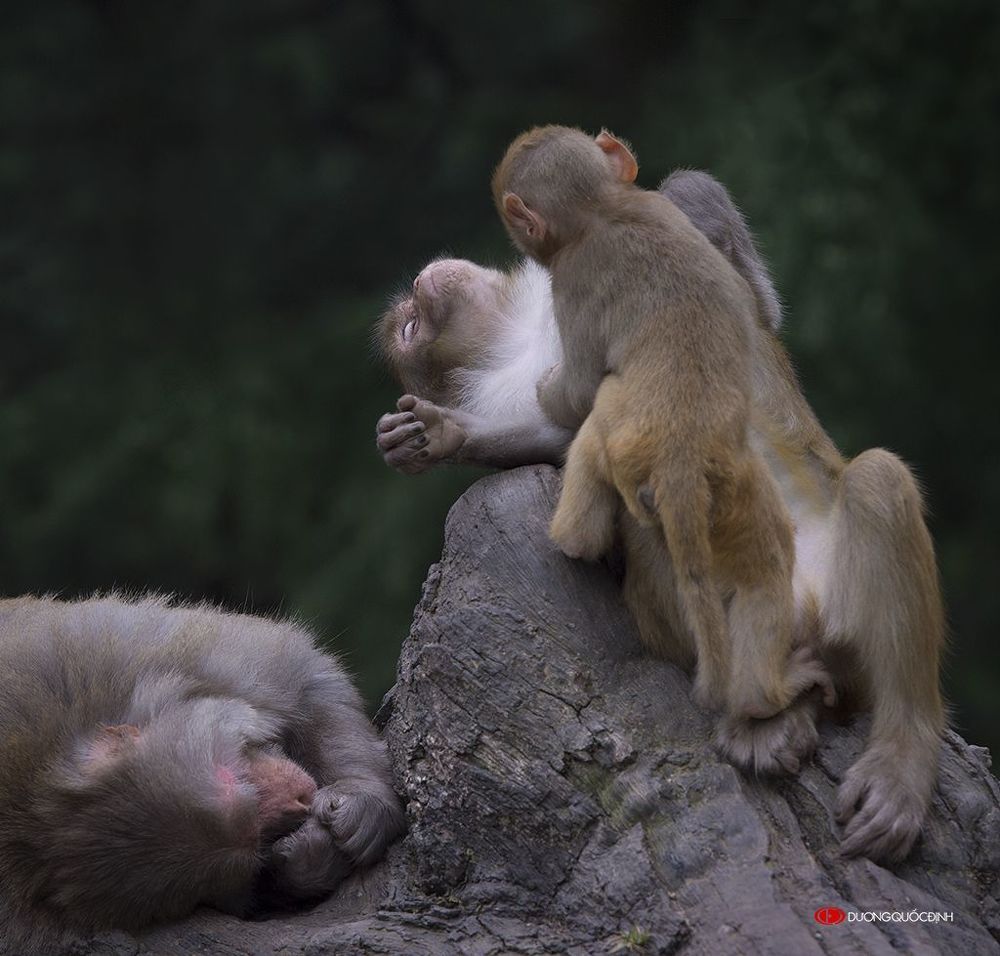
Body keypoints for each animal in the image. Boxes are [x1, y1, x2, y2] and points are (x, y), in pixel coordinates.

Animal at [0, 593, 406, 955]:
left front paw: (360, 803)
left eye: (237, 780)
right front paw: (305, 859)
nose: (302, 796)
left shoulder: (127, 649)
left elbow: (307, 677)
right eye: (258, 842)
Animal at [374, 169, 945, 864]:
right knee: (654, 492)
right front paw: (449, 437)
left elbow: (736, 293)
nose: (419, 289)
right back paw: (768, 715)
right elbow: (580, 438)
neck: (522, 341)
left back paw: (901, 758)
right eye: (409, 330)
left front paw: (438, 432)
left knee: (875, 481)